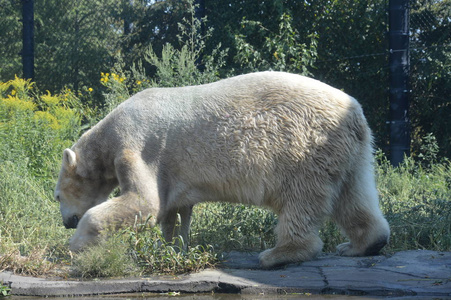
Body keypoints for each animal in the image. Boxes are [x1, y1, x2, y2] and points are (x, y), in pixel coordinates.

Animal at [54, 71, 390, 268]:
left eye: (57, 195)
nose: (67, 223)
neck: (109, 135)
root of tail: (355, 113)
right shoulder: (170, 170)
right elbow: (173, 210)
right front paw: (174, 246)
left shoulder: (136, 146)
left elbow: (143, 201)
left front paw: (76, 245)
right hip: (349, 152)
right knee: (354, 194)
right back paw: (361, 244)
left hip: (303, 148)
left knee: (300, 201)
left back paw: (277, 254)